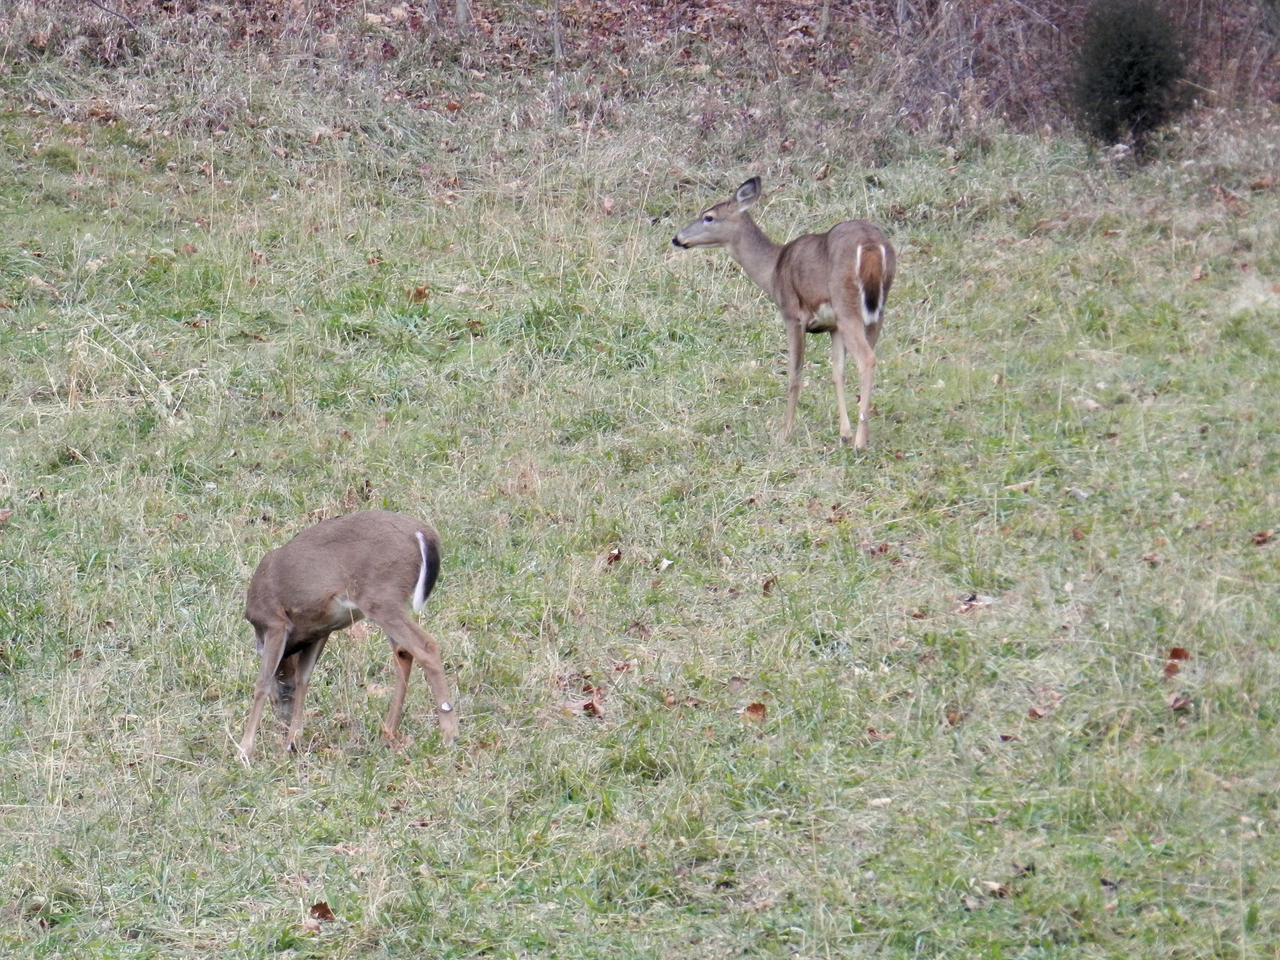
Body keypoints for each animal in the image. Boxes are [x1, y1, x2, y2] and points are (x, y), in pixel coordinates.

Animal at [235, 512, 460, 768]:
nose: (283, 722)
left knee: (426, 646)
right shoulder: (320, 630)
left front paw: (244, 750)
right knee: (403, 652)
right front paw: (292, 742)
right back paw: (389, 732)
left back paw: (449, 734)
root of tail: (423, 533)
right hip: (388, 600)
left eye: (281, 692)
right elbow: (304, 678)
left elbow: (262, 683)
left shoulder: (275, 622)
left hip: (381, 595)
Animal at [675, 176, 896, 450]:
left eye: (709, 217)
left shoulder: (792, 314)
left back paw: (860, 442)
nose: (677, 238)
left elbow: (794, 374)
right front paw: (843, 432)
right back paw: (860, 435)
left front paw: (785, 432)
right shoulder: (832, 326)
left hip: (848, 306)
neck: (773, 269)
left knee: (867, 359)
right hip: (875, 313)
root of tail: (872, 245)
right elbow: (837, 371)